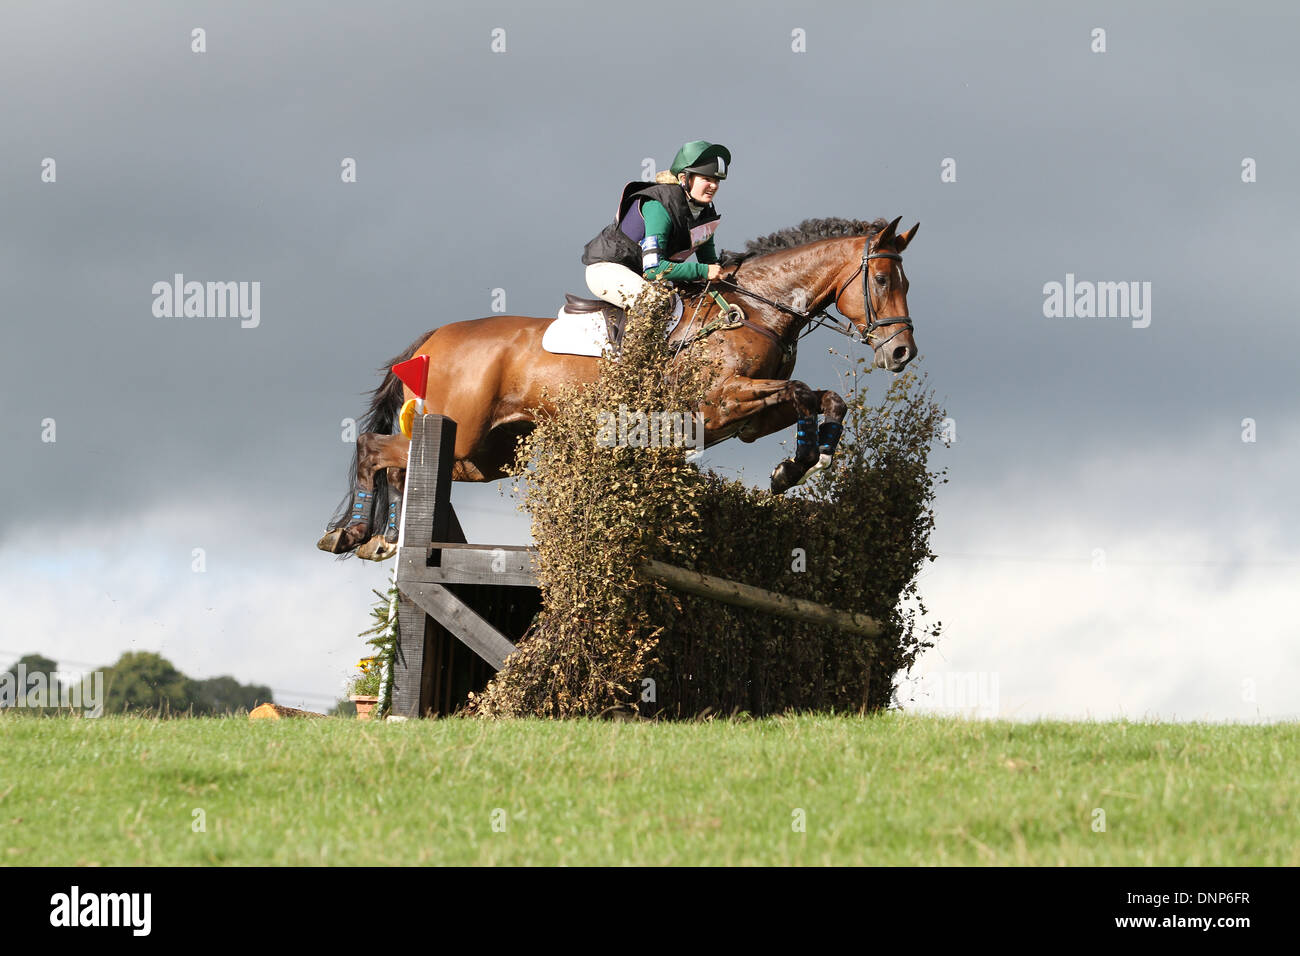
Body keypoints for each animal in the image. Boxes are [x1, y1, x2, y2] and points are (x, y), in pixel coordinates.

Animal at [318, 216, 920, 561]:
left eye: (906, 281)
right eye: (882, 280)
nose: (901, 353)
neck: (755, 310)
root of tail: (434, 338)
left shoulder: (749, 419)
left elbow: (824, 399)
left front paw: (800, 463)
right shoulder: (718, 405)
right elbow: (799, 391)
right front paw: (795, 468)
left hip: (486, 455)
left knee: (405, 464)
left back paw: (383, 537)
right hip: (461, 432)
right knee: (375, 449)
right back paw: (355, 533)